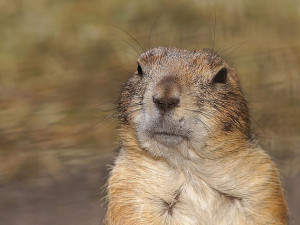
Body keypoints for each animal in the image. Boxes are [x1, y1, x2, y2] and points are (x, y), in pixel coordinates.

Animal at [105, 46, 288, 224]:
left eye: (221, 75)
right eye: (139, 69)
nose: (165, 100)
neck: (189, 172)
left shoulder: (263, 185)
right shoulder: (128, 192)